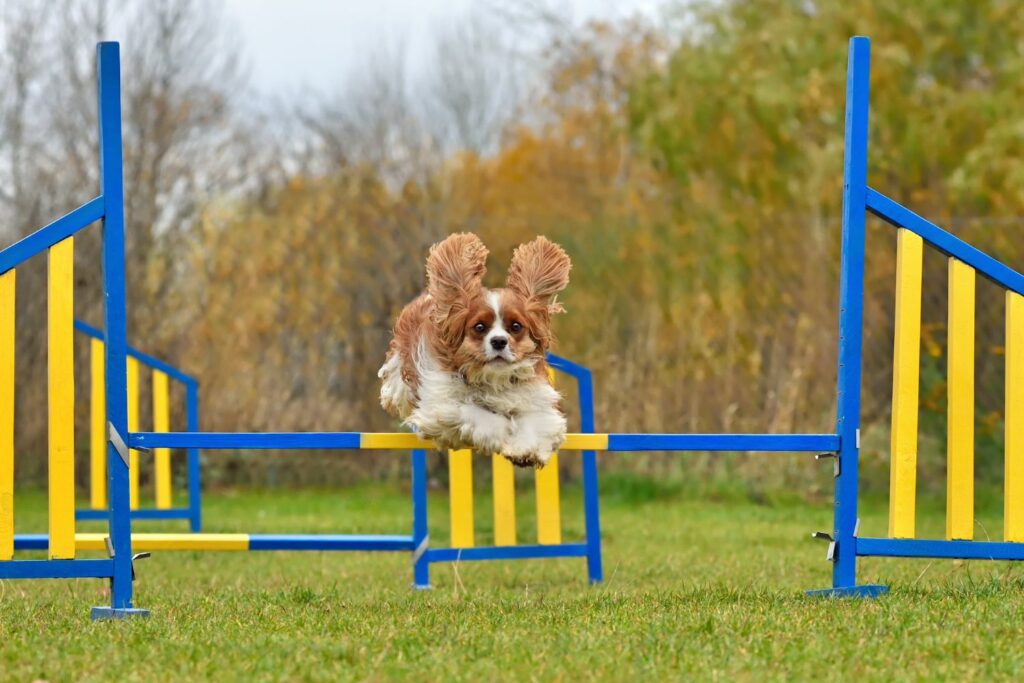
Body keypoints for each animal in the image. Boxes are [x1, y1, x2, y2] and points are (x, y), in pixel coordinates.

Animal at [378, 232, 573, 466]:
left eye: (516, 326)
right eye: (479, 327)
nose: (499, 341)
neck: (491, 379)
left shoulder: (534, 398)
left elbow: (536, 421)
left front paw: (525, 450)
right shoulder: (441, 404)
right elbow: (475, 413)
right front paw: (500, 432)